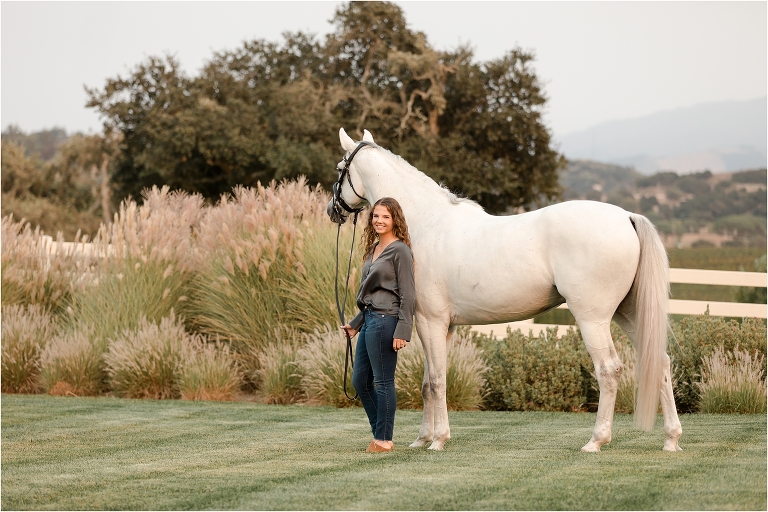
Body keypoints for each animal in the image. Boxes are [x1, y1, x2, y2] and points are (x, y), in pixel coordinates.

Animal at [327, 128, 682, 453]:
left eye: (340, 167)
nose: (333, 210)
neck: (426, 223)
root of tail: (627, 217)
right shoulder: (444, 326)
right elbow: (428, 382)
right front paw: (422, 439)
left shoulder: (430, 322)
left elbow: (438, 381)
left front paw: (438, 441)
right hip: (629, 312)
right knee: (661, 362)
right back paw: (671, 439)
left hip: (592, 318)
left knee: (608, 370)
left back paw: (596, 441)